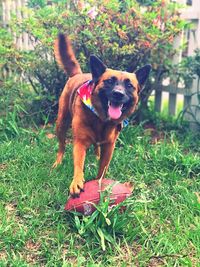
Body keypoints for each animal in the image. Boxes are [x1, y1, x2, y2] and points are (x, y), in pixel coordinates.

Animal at [53, 33, 152, 197]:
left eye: (129, 85)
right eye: (109, 81)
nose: (118, 94)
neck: (102, 120)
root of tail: (78, 74)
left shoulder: (109, 147)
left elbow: (102, 169)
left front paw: (100, 183)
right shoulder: (80, 143)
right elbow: (78, 164)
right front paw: (77, 182)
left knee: (97, 148)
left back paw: (96, 155)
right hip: (61, 123)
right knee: (61, 146)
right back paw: (58, 163)